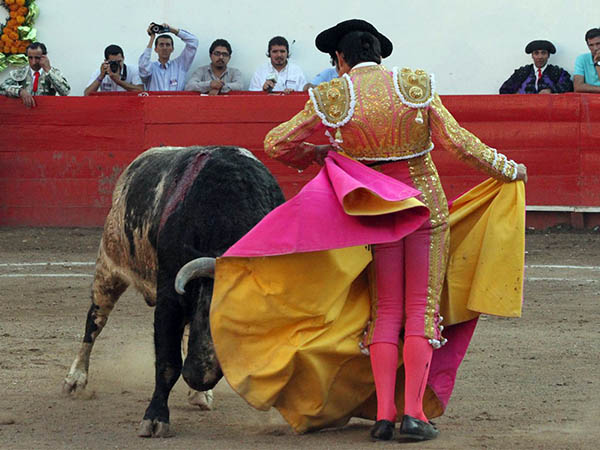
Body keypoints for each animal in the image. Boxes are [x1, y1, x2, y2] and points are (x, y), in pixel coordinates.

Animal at [62, 147, 284, 436]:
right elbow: (168, 362)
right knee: (95, 322)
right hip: (108, 266)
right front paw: (155, 418)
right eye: (210, 311)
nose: (198, 377)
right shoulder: (169, 299)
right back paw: (76, 380)